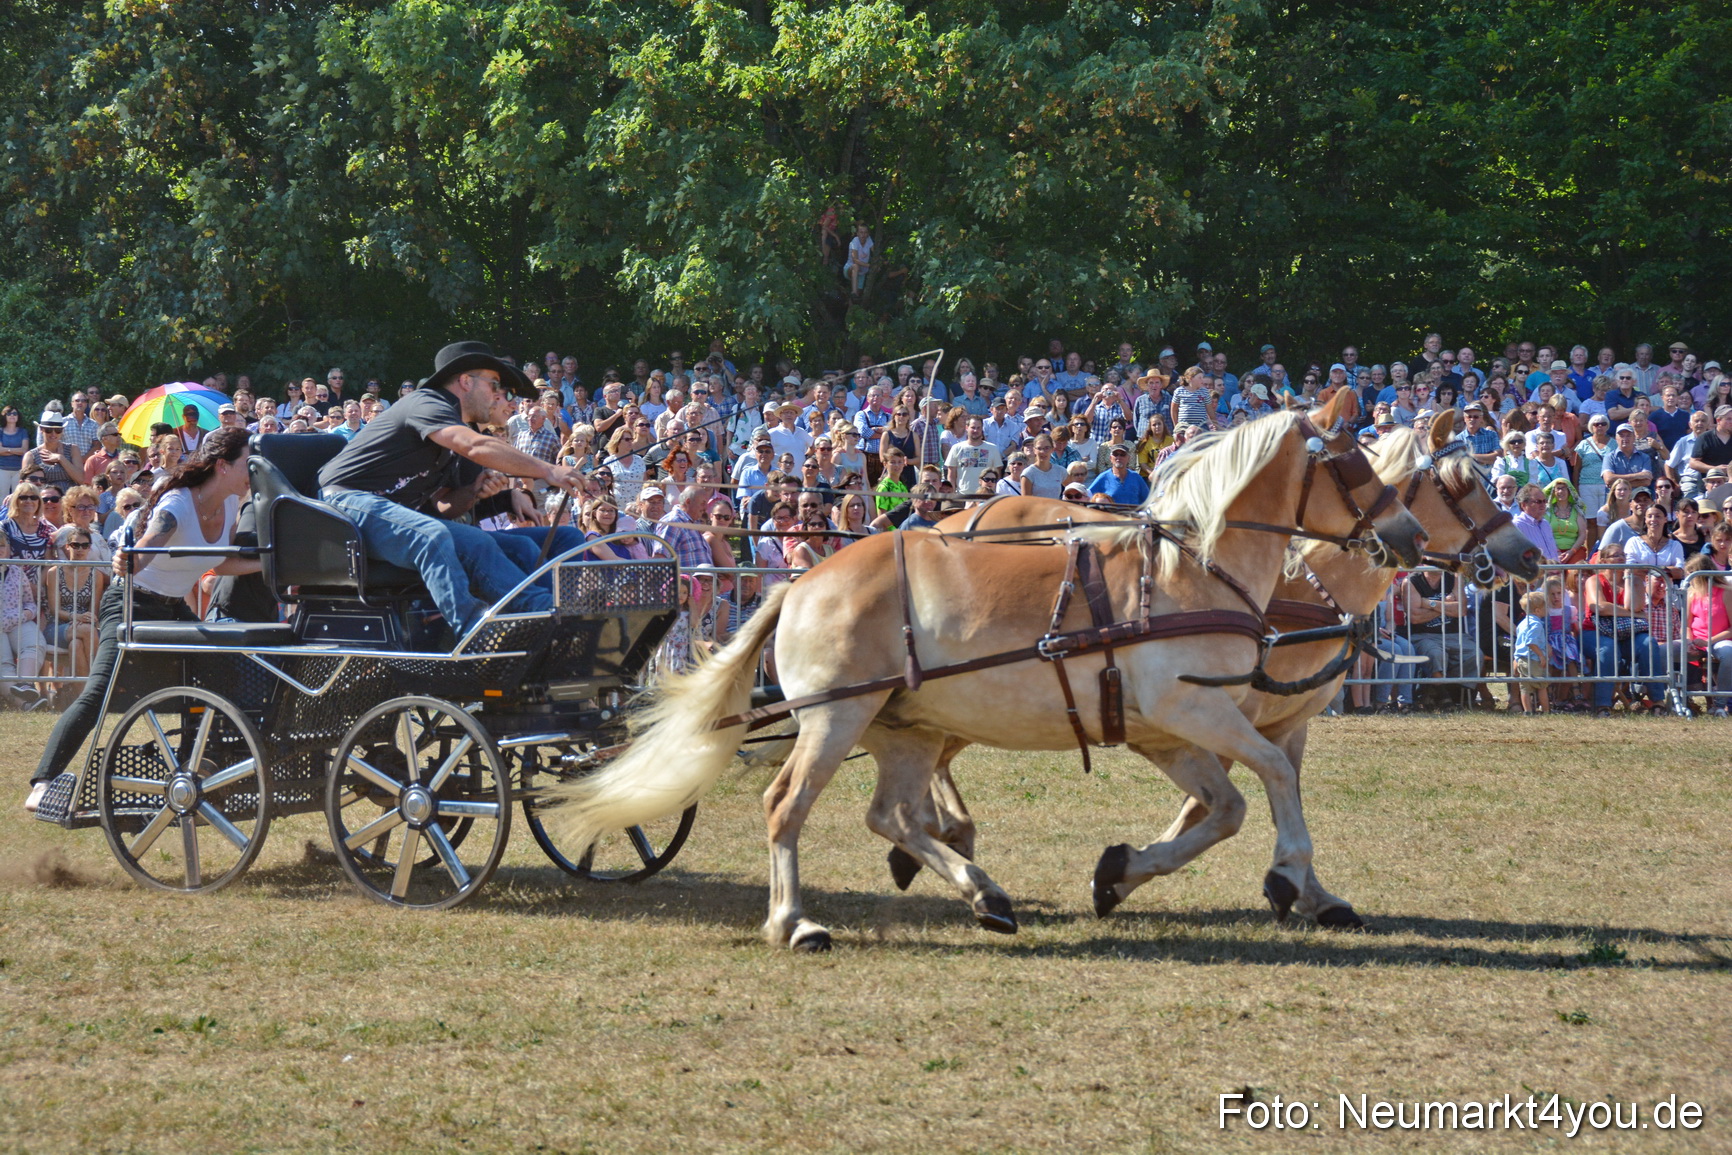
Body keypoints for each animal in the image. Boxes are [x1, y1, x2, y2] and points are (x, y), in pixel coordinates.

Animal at [545, 396, 1428, 950]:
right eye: (1354, 463)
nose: (1411, 536)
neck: (1192, 571)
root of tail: (801, 582)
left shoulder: (1168, 728)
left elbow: (1229, 805)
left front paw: (1121, 873)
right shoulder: (1195, 711)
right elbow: (1275, 773)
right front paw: (1288, 874)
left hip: (900, 726)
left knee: (892, 815)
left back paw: (983, 893)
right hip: (836, 716)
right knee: (787, 805)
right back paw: (796, 921)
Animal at [900, 412, 1542, 927]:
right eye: (1464, 485)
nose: (1530, 555)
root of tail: (951, 522)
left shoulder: (1287, 719)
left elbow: (1281, 788)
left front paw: (1313, 894)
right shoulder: (1221, 707)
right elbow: (1211, 803)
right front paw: (1128, 873)